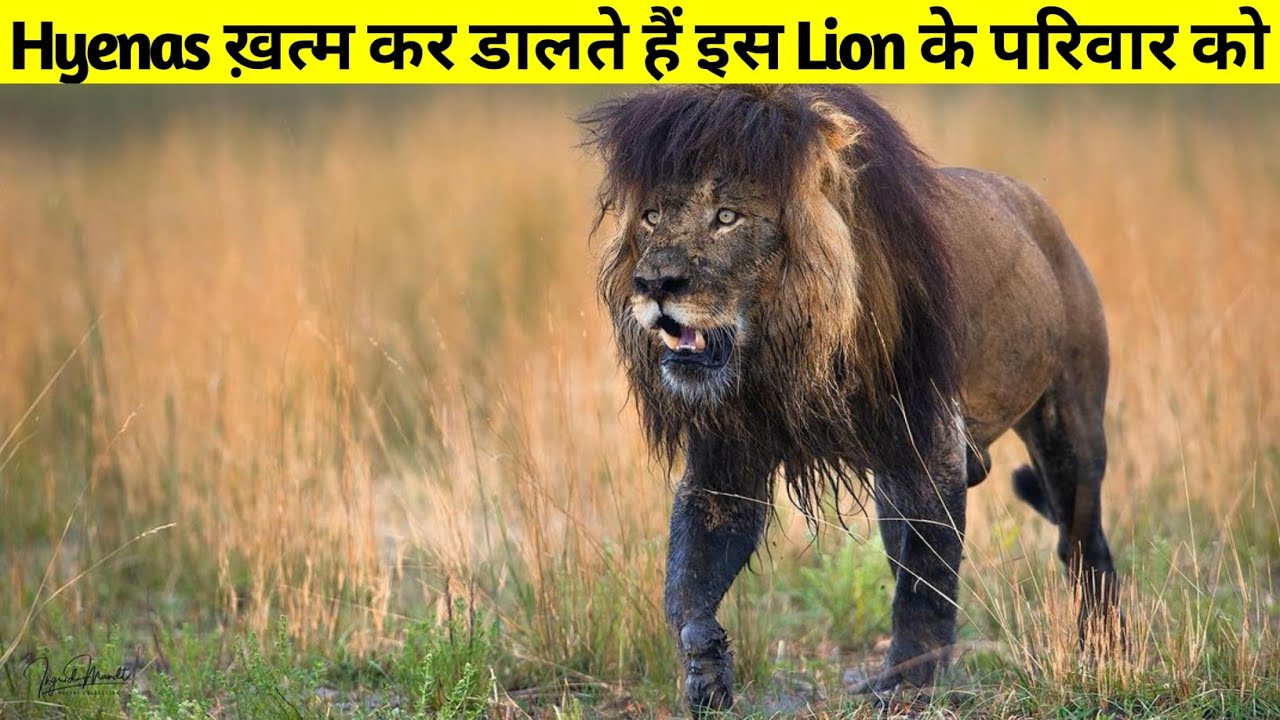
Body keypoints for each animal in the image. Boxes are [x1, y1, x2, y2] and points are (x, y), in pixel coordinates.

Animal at [581, 85, 1118, 713]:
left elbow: (925, 581)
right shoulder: (725, 458)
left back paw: (1101, 652)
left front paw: (906, 685)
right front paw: (706, 671)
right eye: (651, 217)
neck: (784, 348)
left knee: (1084, 543)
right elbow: (689, 573)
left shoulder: (931, 444)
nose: (655, 284)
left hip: (1069, 424)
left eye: (727, 217)